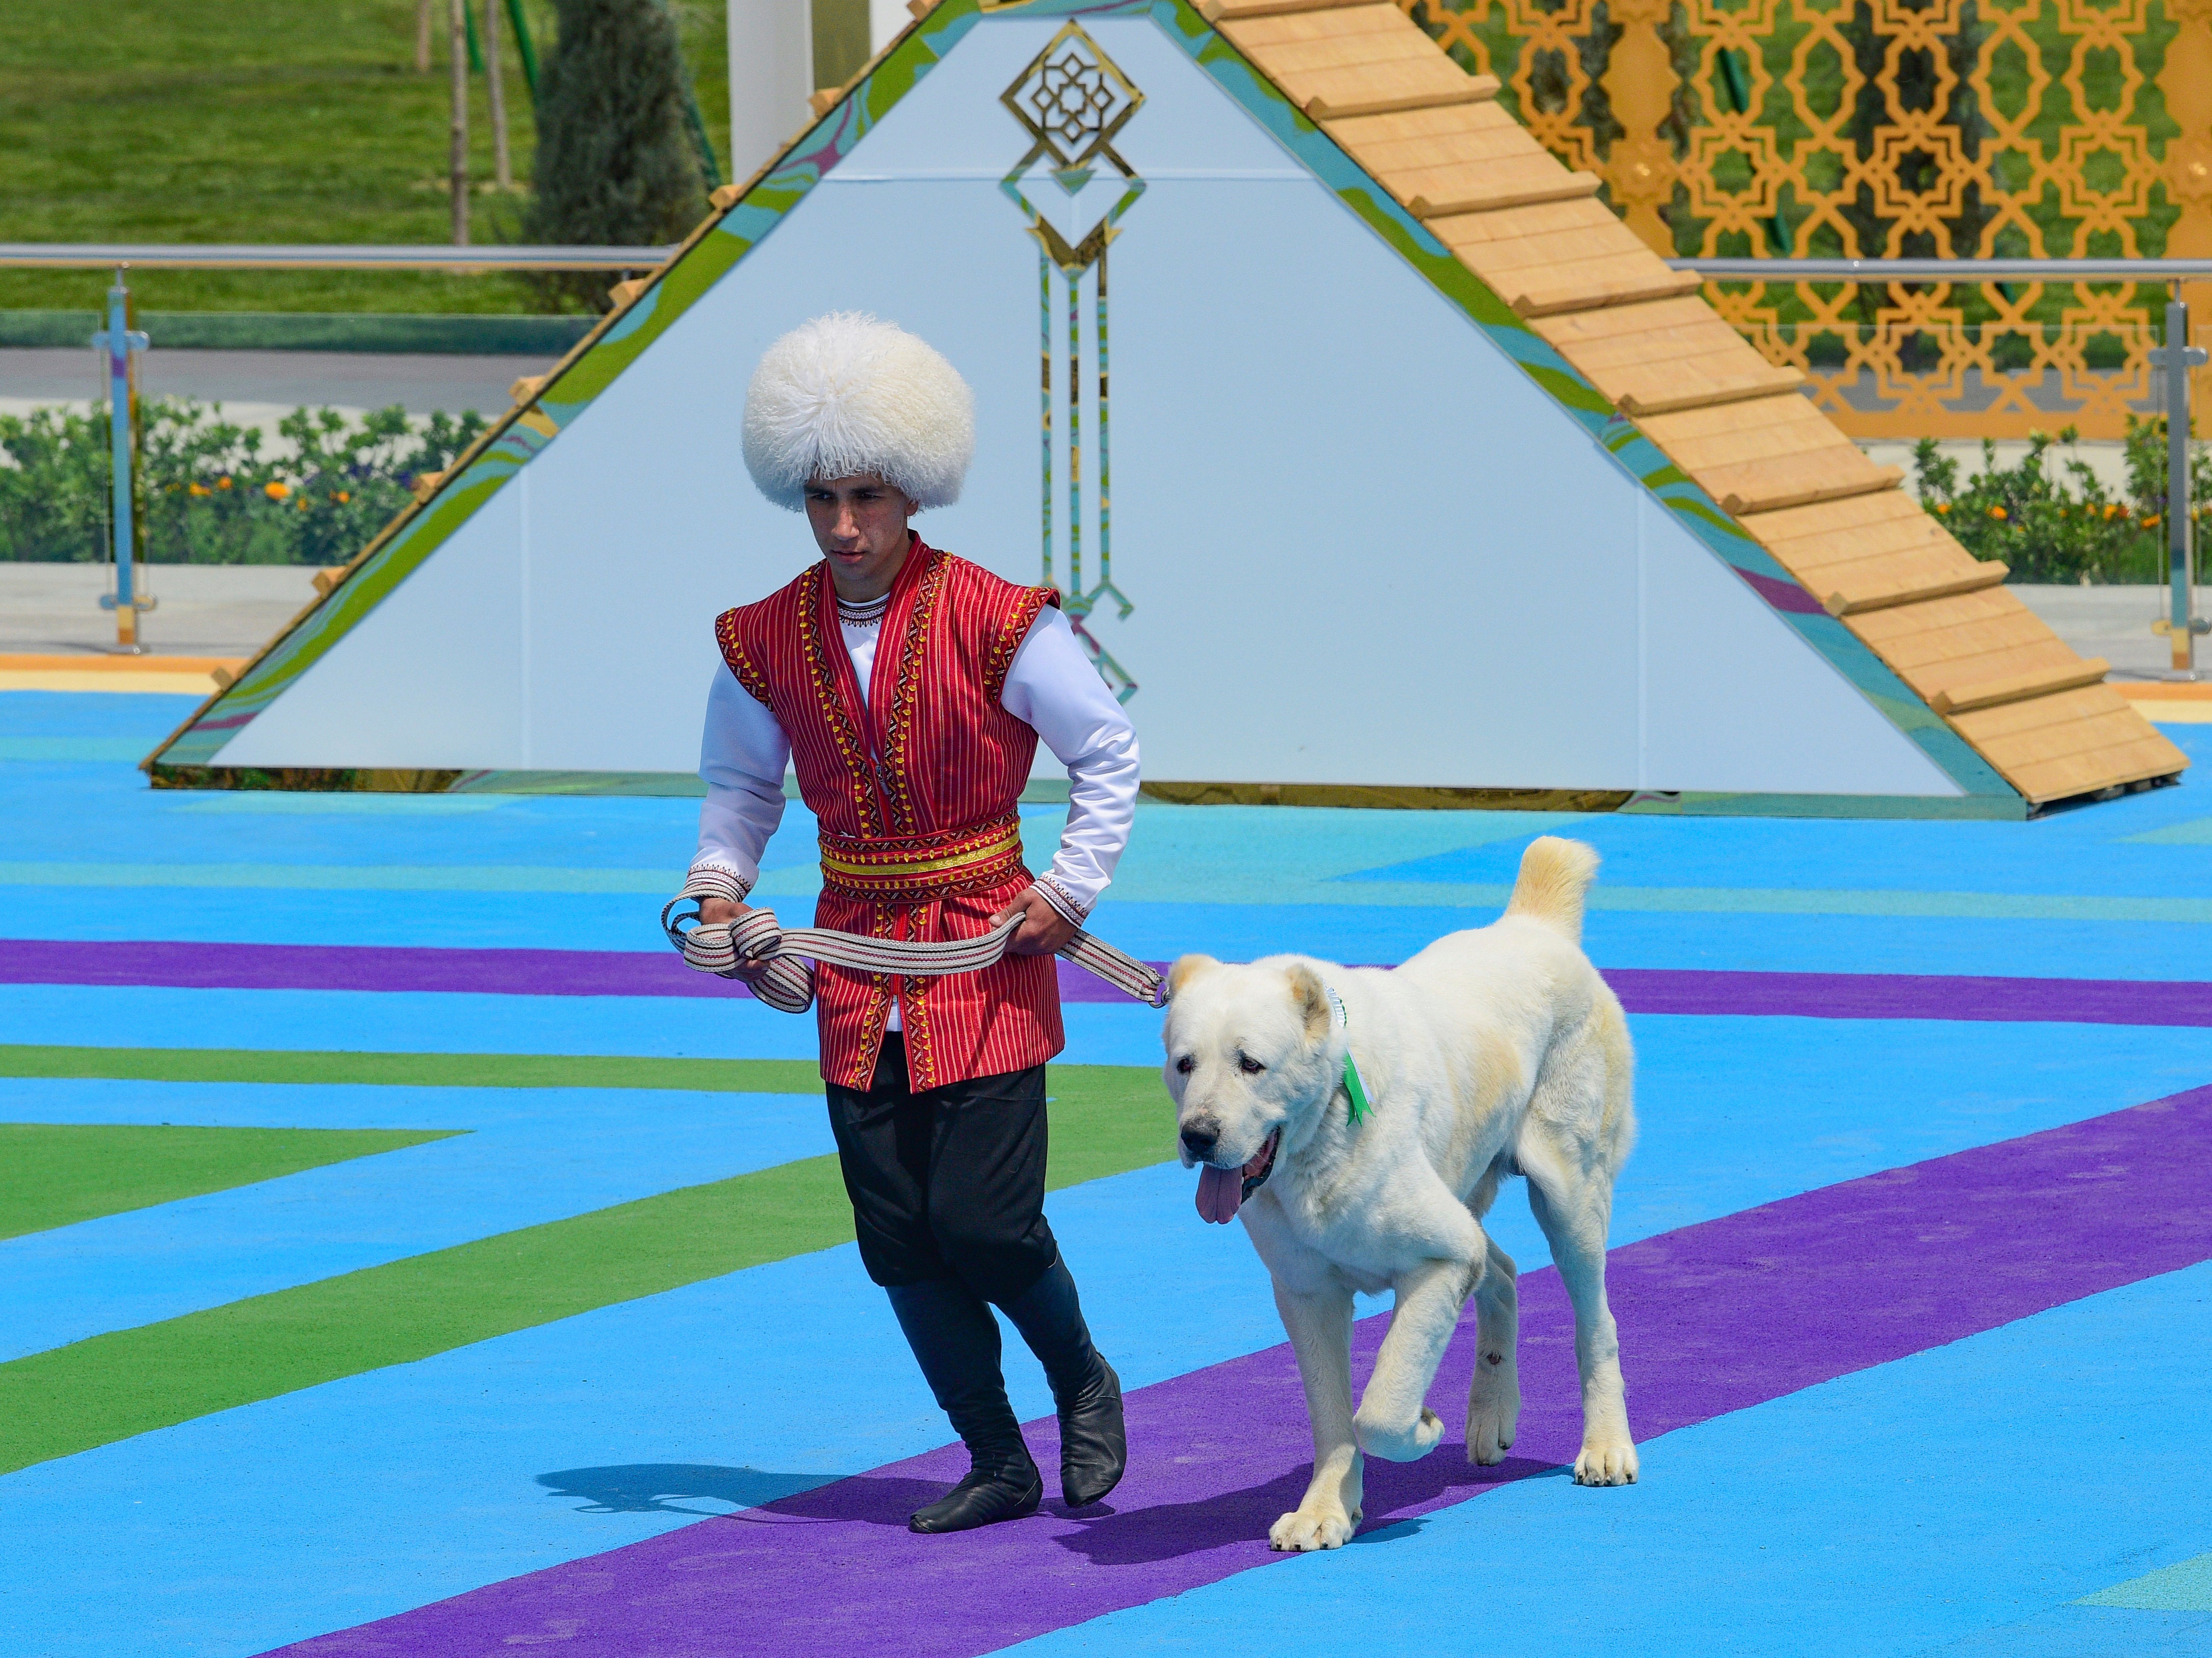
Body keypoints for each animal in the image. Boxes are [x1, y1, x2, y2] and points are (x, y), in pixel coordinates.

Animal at [1167, 841, 1636, 1549]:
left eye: (1251, 1064)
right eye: (1184, 1064)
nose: (1197, 1135)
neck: (1326, 1125)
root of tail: (1534, 926)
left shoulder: (1442, 1259)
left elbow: (1381, 1409)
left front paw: (1421, 1426)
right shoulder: (1307, 1293)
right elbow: (1334, 1418)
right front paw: (1326, 1512)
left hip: (1569, 1196)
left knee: (1596, 1323)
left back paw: (1606, 1446)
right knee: (1503, 1270)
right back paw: (1491, 1416)